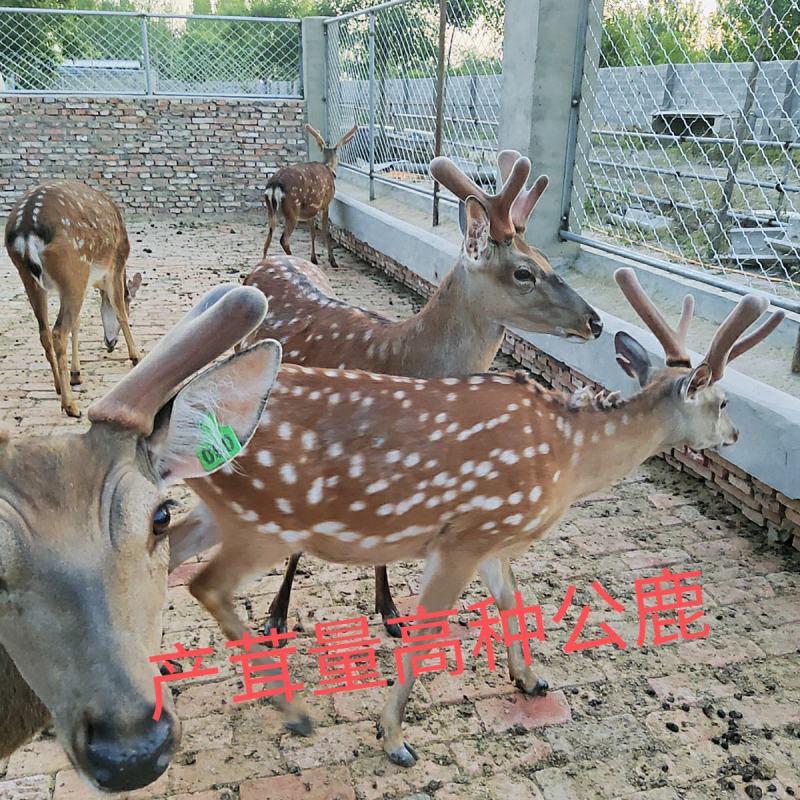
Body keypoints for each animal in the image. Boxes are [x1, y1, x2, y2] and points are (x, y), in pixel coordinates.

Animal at [4, 180, 143, 417]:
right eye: (130, 302)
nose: (110, 343)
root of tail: (26, 230)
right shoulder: (115, 265)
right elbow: (119, 312)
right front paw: (136, 356)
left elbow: (77, 324)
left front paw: (76, 374)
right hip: (74, 267)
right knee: (59, 331)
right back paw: (71, 406)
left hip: (29, 276)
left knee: (45, 332)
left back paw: (60, 386)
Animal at [169, 152, 604, 643]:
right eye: (524, 272)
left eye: (549, 259)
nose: (596, 322)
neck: (401, 356)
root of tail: (266, 265)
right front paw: (276, 614)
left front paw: (390, 610)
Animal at [174, 267, 783, 767]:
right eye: (724, 402)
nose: (735, 435)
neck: (570, 456)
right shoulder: (465, 535)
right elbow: (426, 630)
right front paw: (394, 737)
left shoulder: (494, 539)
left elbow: (512, 599)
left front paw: (531, 679)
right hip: (267, 519)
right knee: (206, 583)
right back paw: (295, 711)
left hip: (224, 510)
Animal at [263, 123, 359, 267]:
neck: (328, 166)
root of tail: (274, 185)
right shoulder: (325, 203)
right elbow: (326, 231)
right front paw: (332, 260)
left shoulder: (310, 210)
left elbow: (312, 232)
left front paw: (314, 259)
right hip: (292, 210)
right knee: (283, 239)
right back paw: (293, 260)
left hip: (270, 210)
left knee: (267, 240)